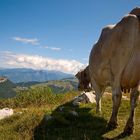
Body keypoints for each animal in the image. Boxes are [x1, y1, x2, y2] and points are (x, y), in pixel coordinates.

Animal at [76, 7, 140, 136]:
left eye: (80, 77)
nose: (78, 87)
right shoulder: (106, 82)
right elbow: (100, 95)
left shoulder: (96, 80)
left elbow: (98, 96)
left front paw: (98, 110)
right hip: (137, 75)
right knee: (134, 98)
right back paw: (129, 127)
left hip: (117, 70)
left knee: (117, 96)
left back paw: (112, 122)